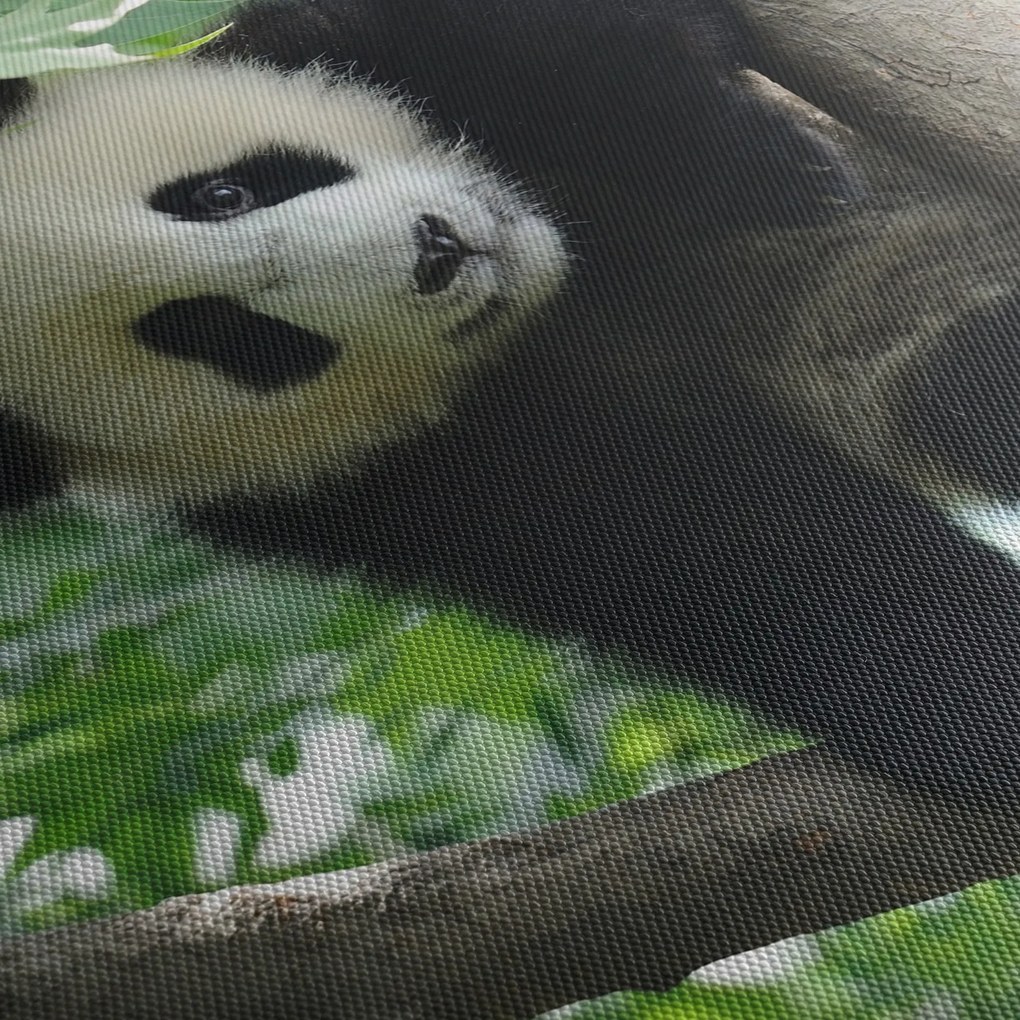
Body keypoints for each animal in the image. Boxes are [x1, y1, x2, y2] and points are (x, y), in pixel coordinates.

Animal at [3, 0, 1020, 808]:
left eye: (222, 193)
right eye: (235, 336)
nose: (438, 251)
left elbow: (559, 45)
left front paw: (752, 157)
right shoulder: (372, 479)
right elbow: (745, 549)